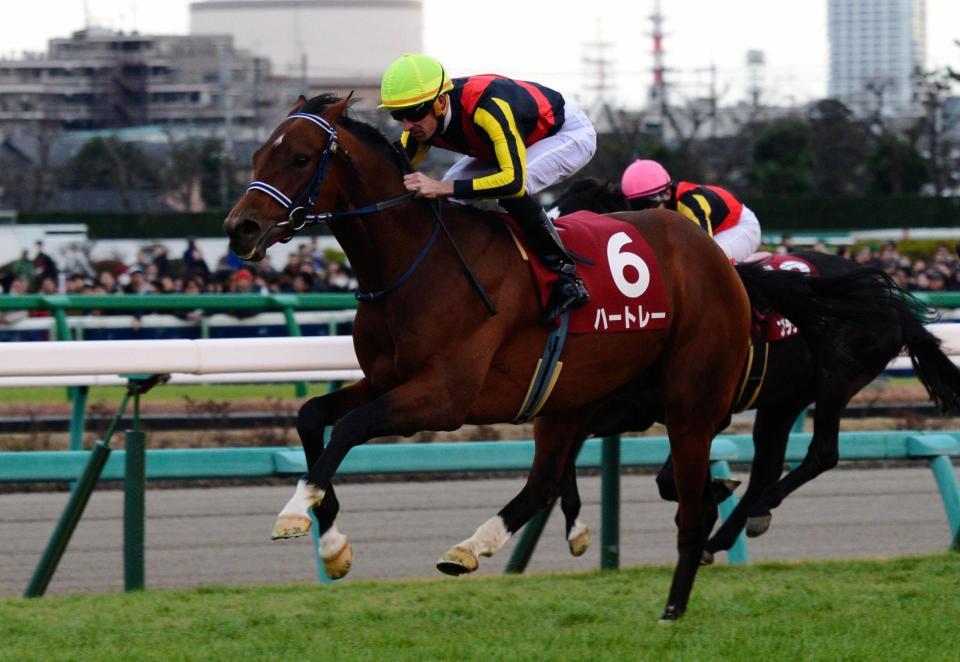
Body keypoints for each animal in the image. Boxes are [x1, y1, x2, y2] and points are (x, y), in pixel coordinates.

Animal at [224, 95, 753, 621]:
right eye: (257, 156)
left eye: (300, 158)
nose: (239, 229)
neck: (417, 263)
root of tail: (709, 252)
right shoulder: (383, 379)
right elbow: (312, 416)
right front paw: (332, 545)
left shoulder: (444, 397)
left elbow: (352, 427)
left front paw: (296, 512)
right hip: (569, 395)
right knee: (545, 480)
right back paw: (470, 548)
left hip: (691, 401)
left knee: (690, 509)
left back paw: (672, 610)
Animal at [550, 178, 960, 561]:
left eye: (568, 222)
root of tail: (890, 300)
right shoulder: (623, 406)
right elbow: (569, 450)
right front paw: (575, 527)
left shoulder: (705, 410)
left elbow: (668, 477)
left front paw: (712, 492)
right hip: (784, 399)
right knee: (766, 467)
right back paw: (727, 533)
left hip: (837, 377)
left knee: (821, 454)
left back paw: (758, 510)